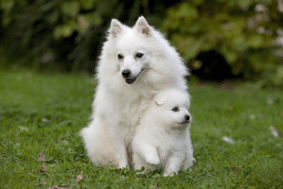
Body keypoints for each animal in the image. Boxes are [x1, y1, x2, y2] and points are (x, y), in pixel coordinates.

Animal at [80, 16, 190, 168]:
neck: (137, 89)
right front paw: (124, 168)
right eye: (120, 56)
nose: (125, 72)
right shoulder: (117, 124)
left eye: (139, 55)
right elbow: (121, 150)